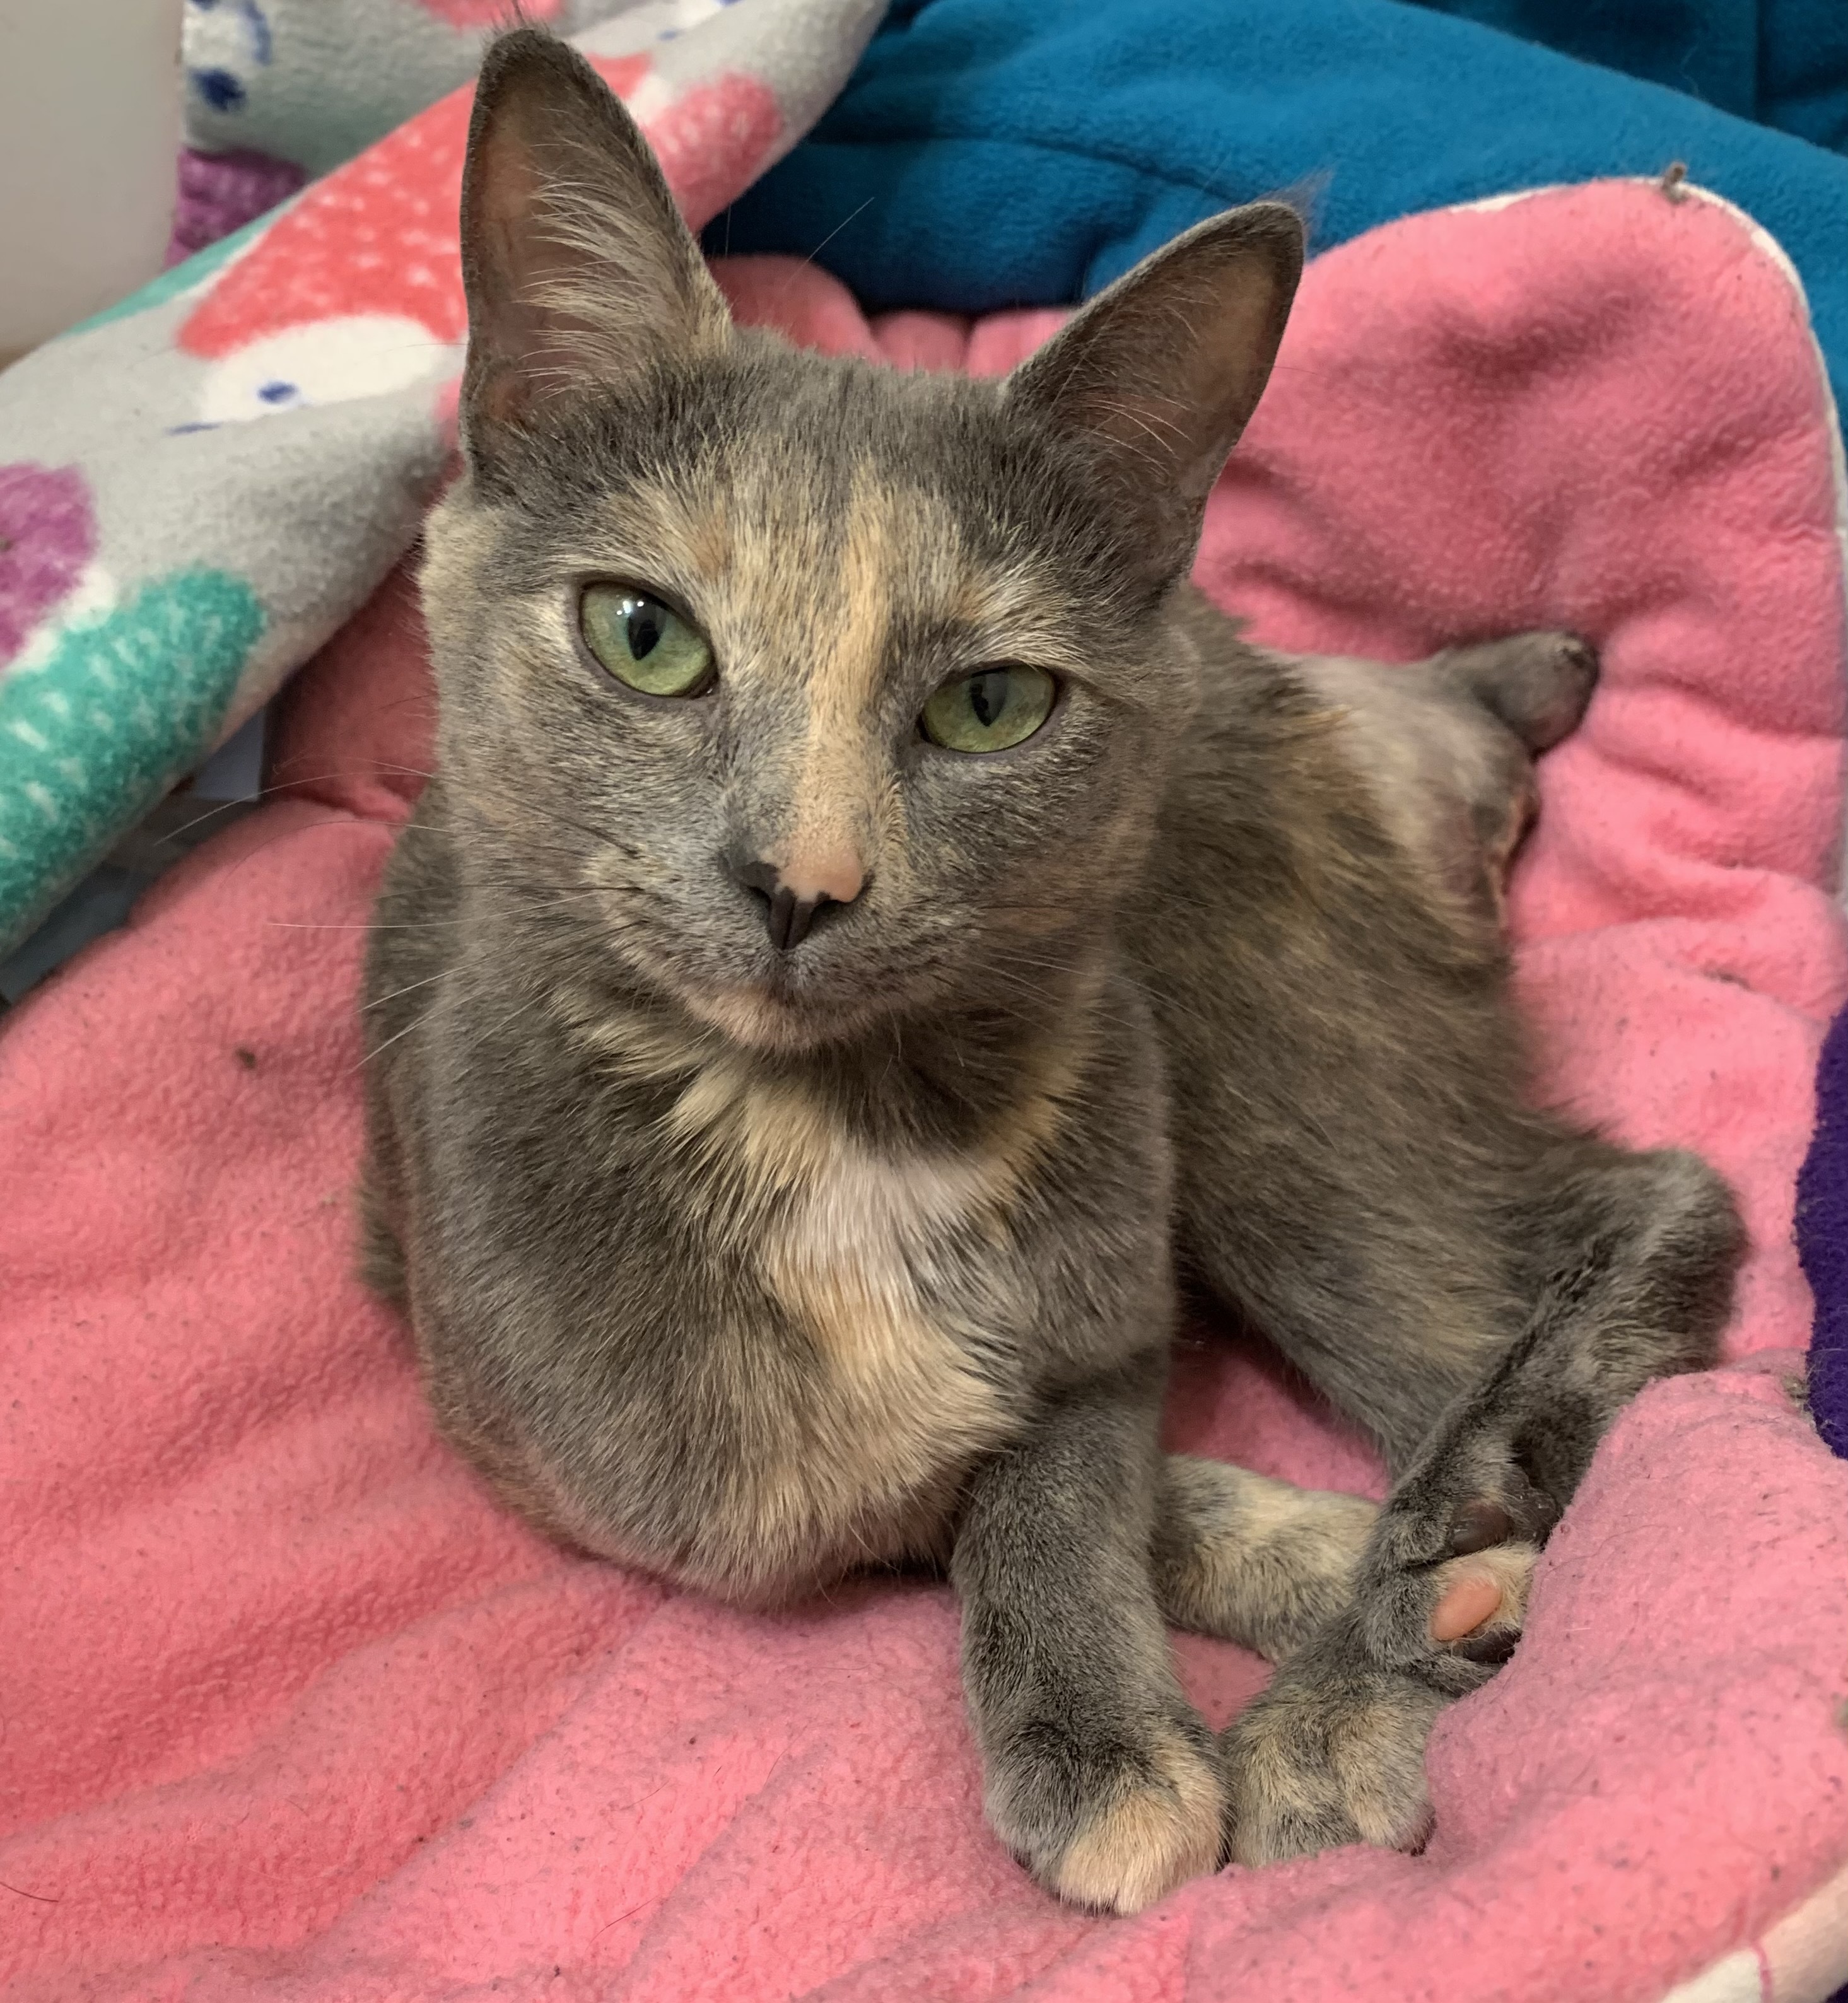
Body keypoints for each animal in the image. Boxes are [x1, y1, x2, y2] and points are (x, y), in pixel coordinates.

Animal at [360, 27, 1746, 1907]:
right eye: (643, 638)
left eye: (987, 705)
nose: (801, 879)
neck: (835, 1129)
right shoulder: (688, 1500)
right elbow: (975, 1496)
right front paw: (1263, 1613)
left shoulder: (1108, 1305)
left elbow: (1065, 1479)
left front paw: (1156, 1708)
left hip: (1260, 1055)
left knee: (1631, 1217)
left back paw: (1408, 1601)